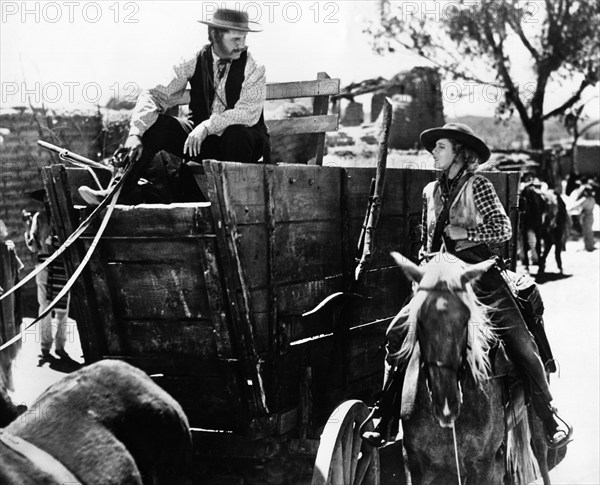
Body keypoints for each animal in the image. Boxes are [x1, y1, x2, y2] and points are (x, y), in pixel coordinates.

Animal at [392, 253, 560, 484]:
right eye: (420, 319)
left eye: (466, 319)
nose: (446, 403)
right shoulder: (415, 464)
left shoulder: (482, 465)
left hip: (534, 414)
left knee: (542, 457)